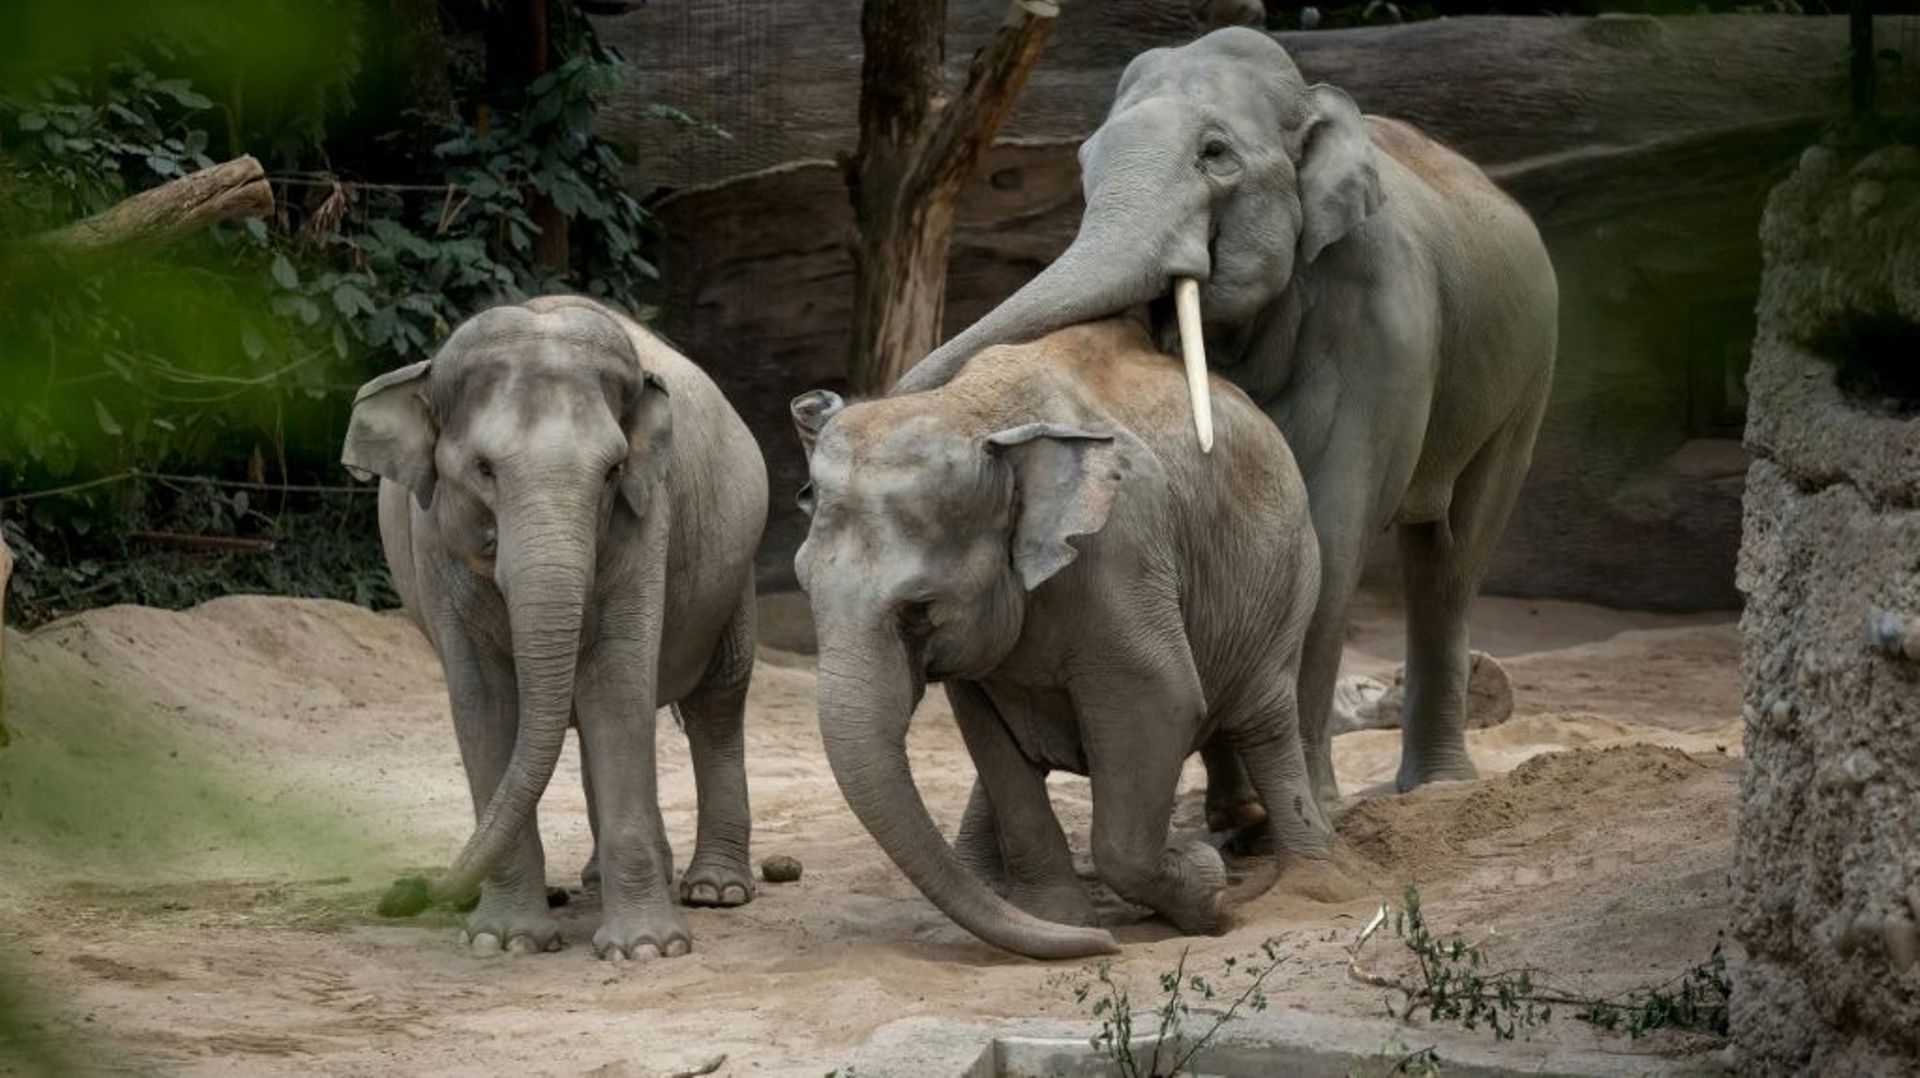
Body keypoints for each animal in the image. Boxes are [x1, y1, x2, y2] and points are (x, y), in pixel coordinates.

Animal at [341, 294, 768, 956]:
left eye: (614, 470)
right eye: (483, 468)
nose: (403, 893)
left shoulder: (646, 519)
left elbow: (617, 680)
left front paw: (647, 949)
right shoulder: (431, 539)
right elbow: (484, 700)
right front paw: (506, 941)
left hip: (736, 573)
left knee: (717, 703)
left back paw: (714, 890)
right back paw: (599, 881)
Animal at [787, 315, 1328, 953]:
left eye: (918, 609)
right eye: (804, 585)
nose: (1107, 945)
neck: (976, 414)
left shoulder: (1120, 554)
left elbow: (1161, 701)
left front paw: (1205, 892)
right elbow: (992, 742)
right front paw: (1065, 921)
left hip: (1291, 576)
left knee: (1265, 720)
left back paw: (1315, 880)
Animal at [898, 25, 1559, 803]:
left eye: (1214, 154)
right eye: (1085, 162)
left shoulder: (1383, 312)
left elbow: (1332, 532)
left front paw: (1314, 806)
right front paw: (1236, 817)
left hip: (1527, 380)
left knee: (1450, 562)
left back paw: (1437, 788)